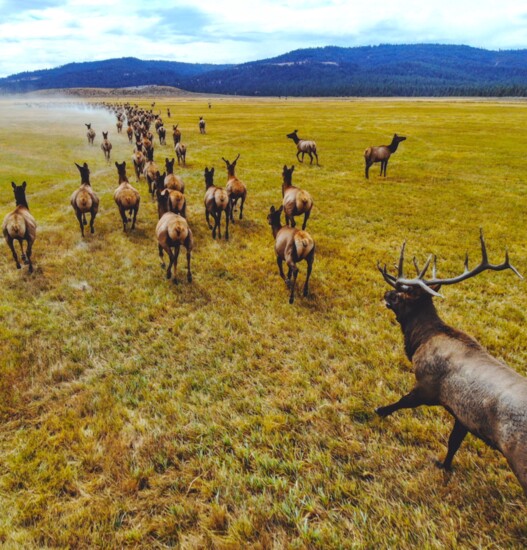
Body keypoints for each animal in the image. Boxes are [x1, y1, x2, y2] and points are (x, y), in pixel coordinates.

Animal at [378, 233, 527, 496]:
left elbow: (401, 402)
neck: (419, 342)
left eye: (403, 293)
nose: (386, 294)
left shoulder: (428, 386)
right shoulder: (464, 414)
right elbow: (453, 442)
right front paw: (444, 465)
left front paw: (378, 411)